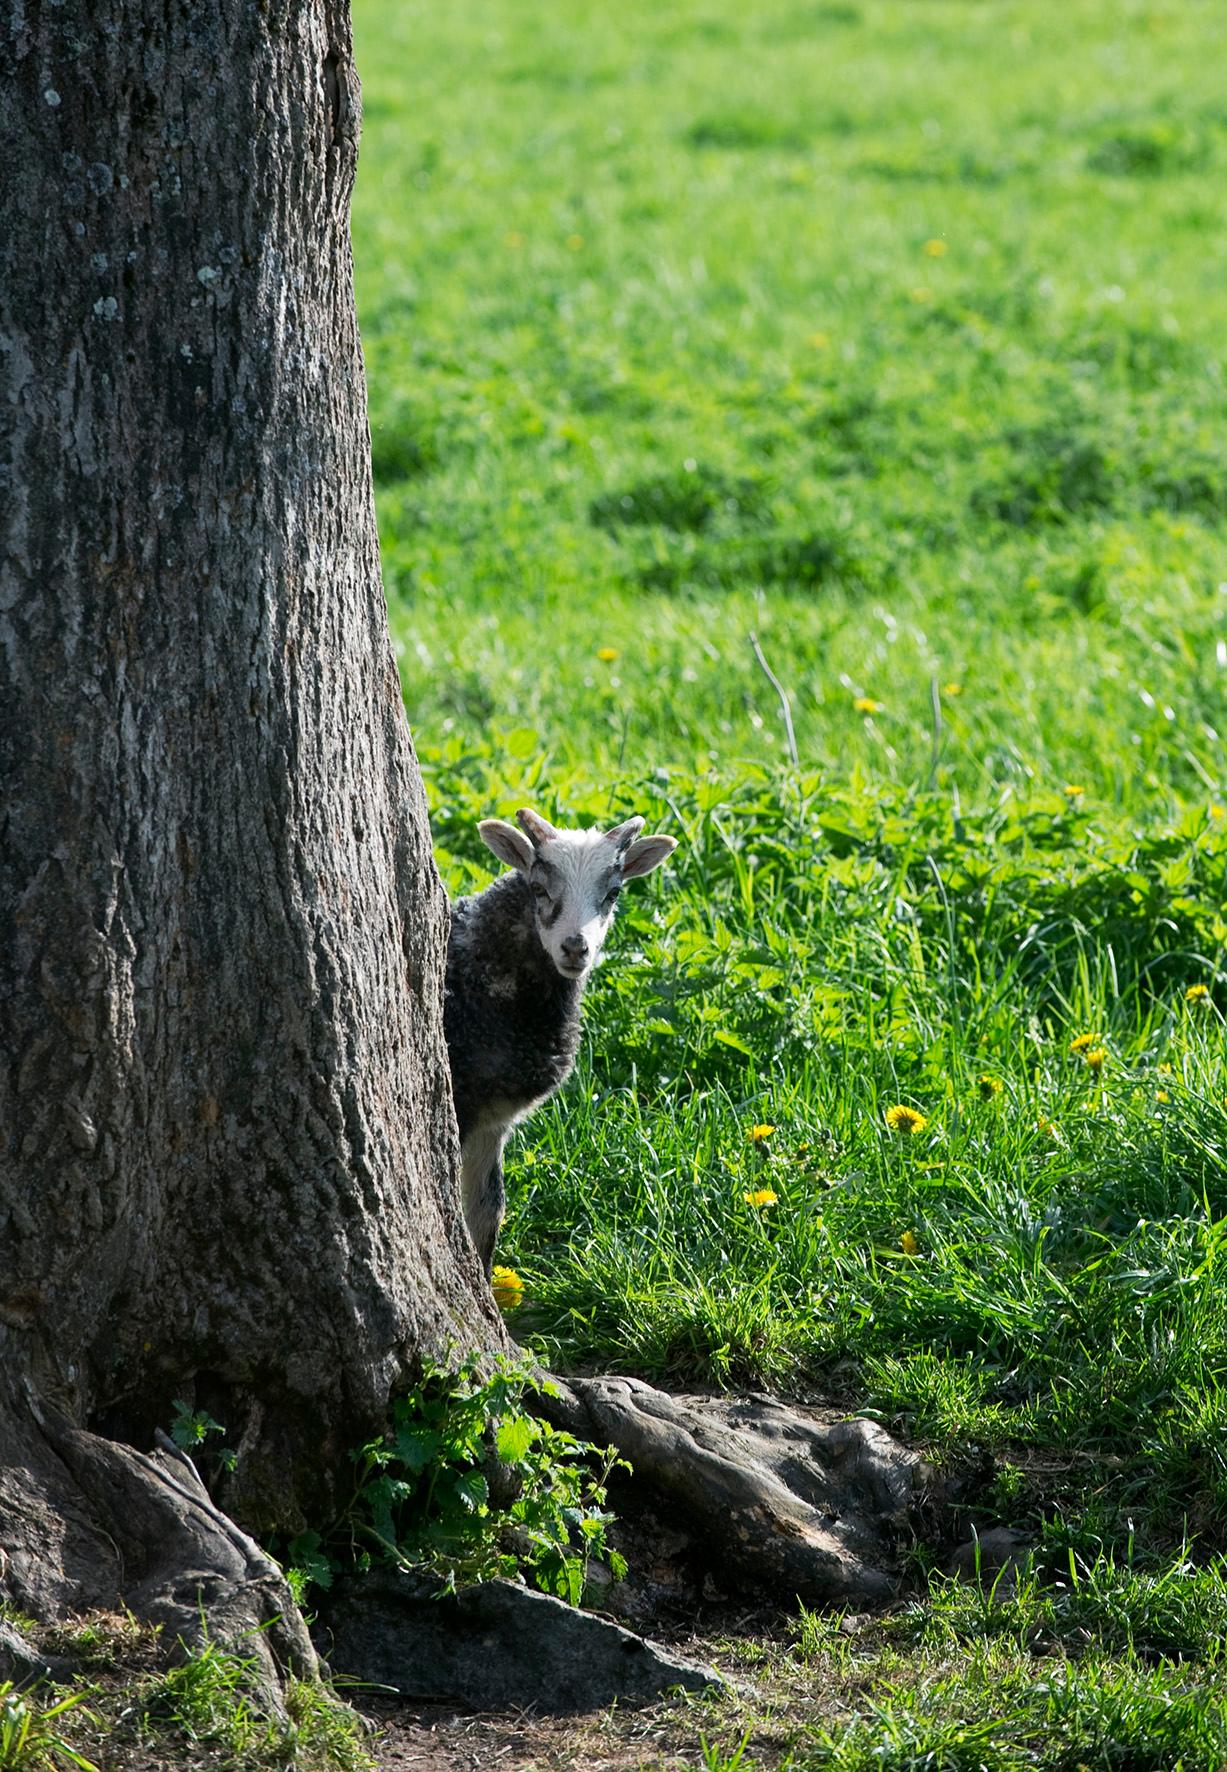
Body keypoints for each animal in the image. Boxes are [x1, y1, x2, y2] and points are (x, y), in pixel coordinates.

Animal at [445, 811, 677, 1282]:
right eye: (538, 888)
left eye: (613, 893)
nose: (575, 947)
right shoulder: (463, 1103)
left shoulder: (493, 1120)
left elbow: (488, 1210)